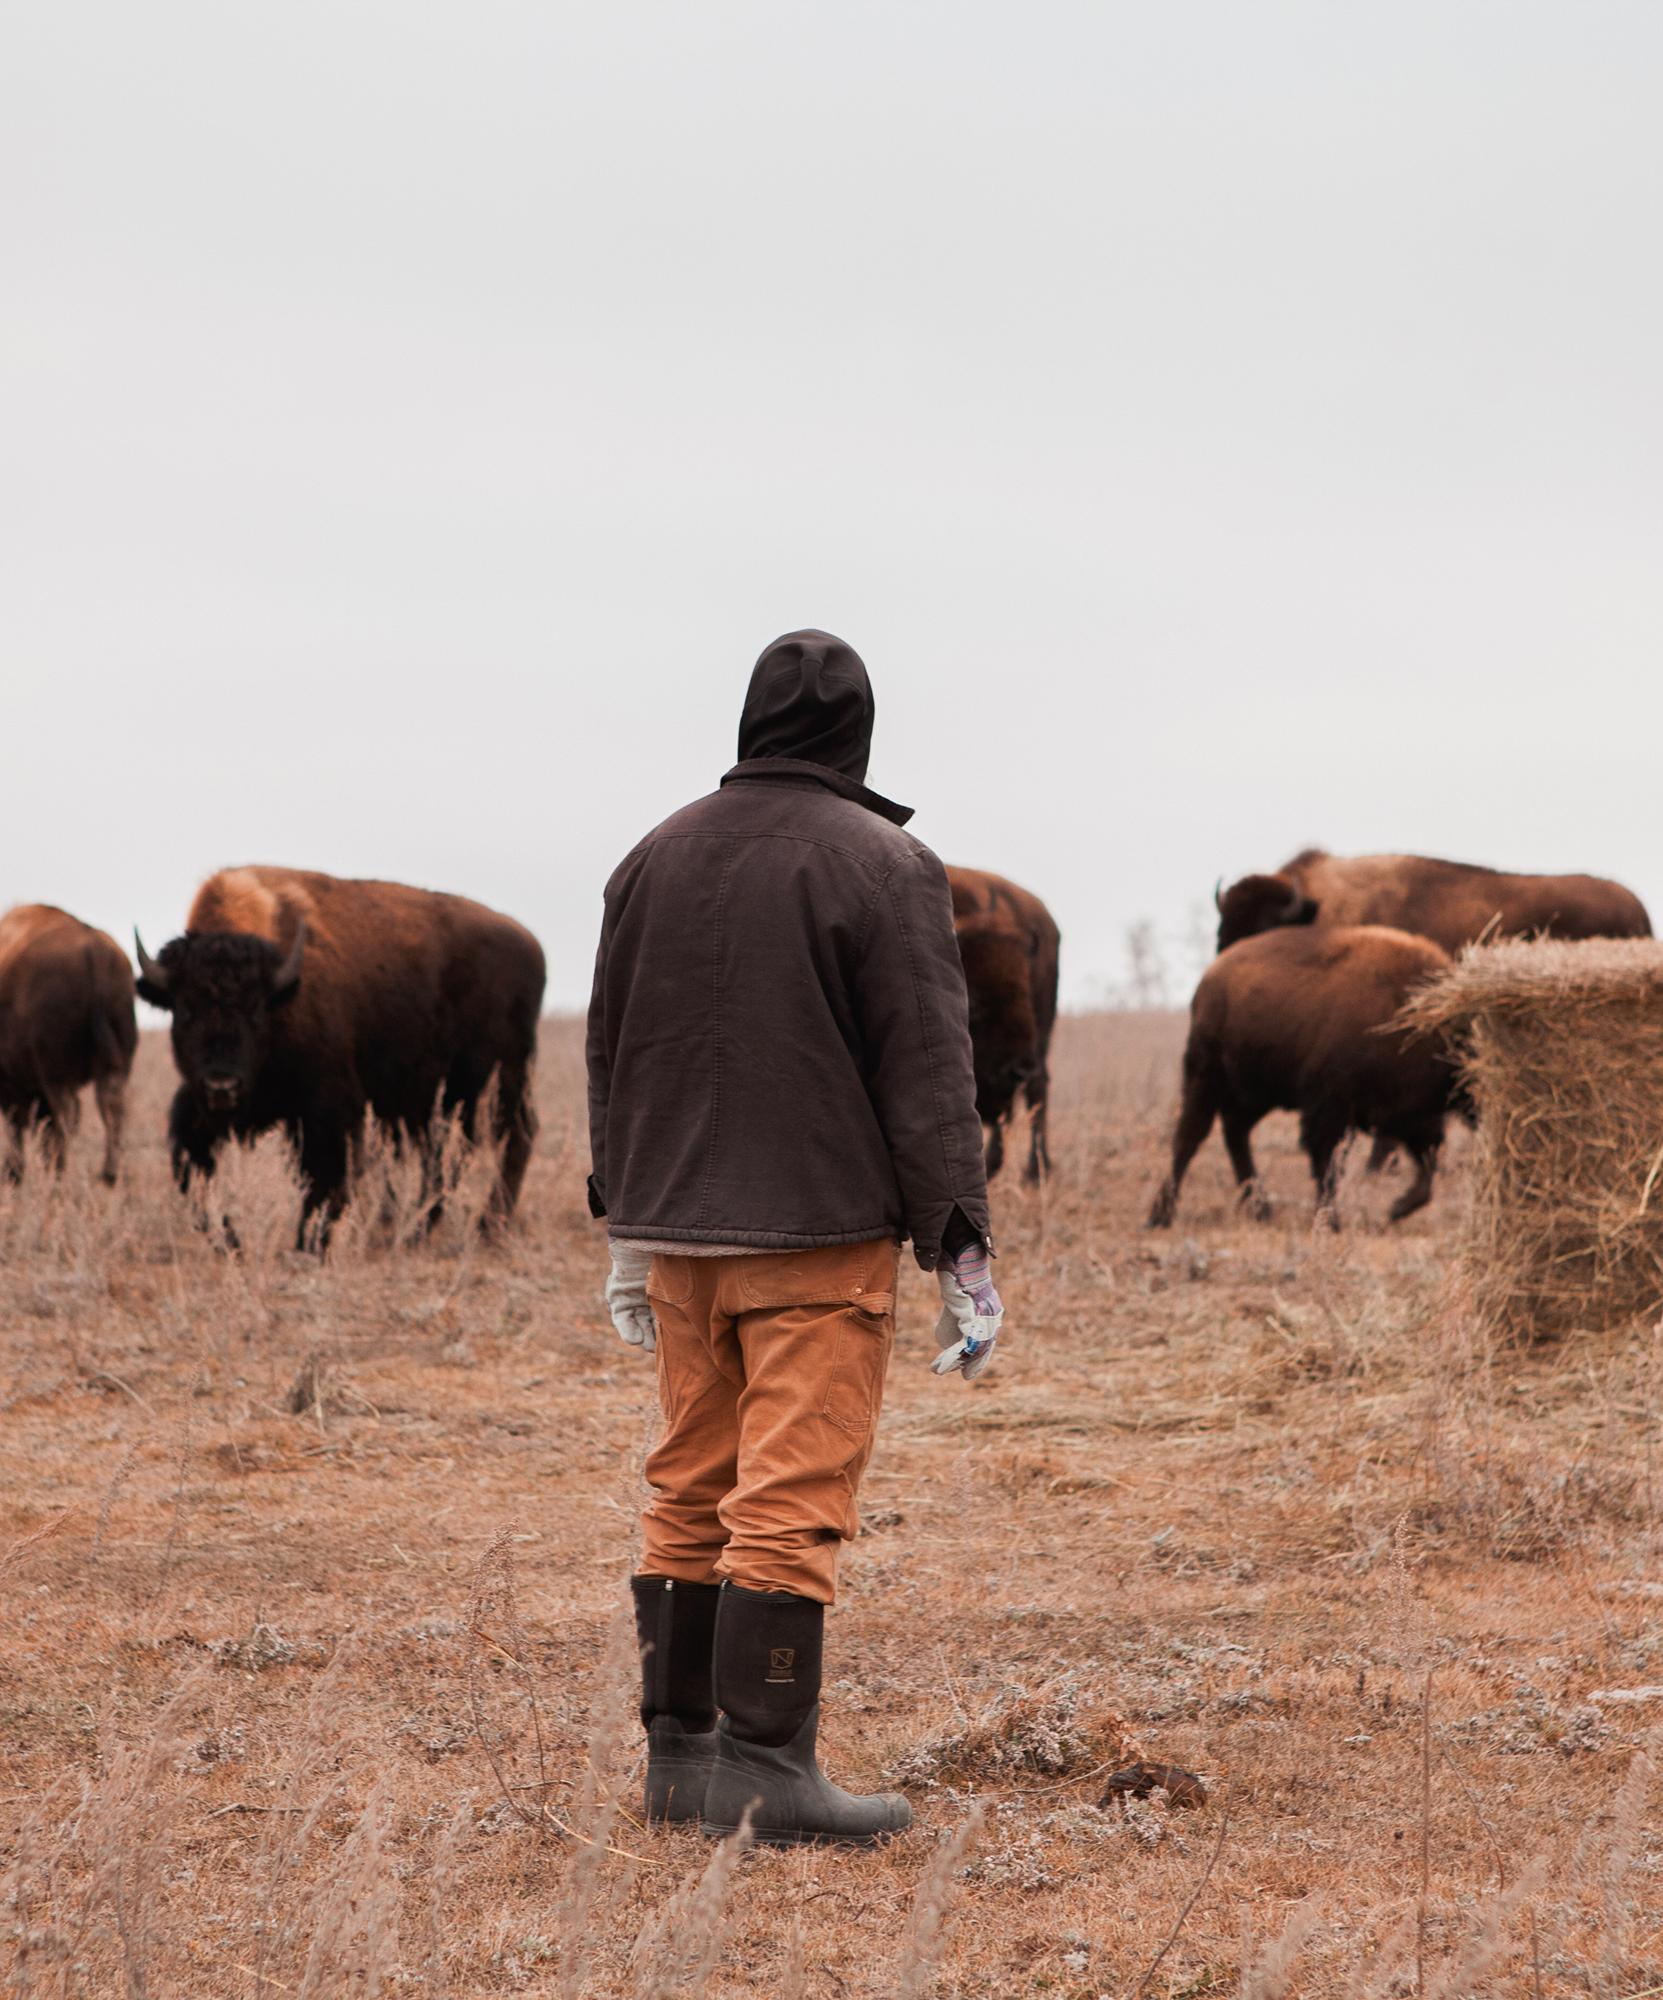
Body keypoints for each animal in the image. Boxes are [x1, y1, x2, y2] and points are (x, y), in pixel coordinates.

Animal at [0, 904, 137, 1185]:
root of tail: (93, 947)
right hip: (116, 1063)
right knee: (112, 1107)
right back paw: (108, 1174)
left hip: (55, 1075)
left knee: (65, 1118)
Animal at [135, 867, 546, 1246]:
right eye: (185, 1009)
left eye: (256, 1010)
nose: (222, 1086)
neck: (284, 993)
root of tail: (531, 945)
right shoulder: (200, 1107)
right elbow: (193, 1168)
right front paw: (230, 1241)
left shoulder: (329, 1106)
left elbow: (325, 1176)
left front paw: (308, 1246)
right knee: (447, 1158)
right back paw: (419, 1230)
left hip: (495, 1081)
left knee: (512, 1139)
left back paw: (486, 1228)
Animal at [1146, 924, 1459, 1231]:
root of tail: (1209, 979)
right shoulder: (1331, 1107)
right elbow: (1327, 1163)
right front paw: (1331, 1221)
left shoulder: (1411, 1113)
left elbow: (1426, 1163)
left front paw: (1396, 1208)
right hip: (1206, 1077)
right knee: (1190, 1136)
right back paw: (1160, 1216)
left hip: (1255, 1093)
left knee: (1234, 1132)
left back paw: (1261, 1210)